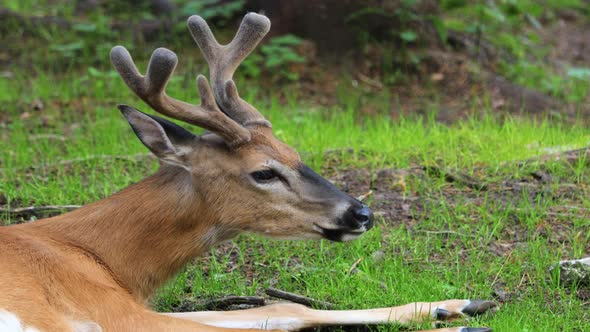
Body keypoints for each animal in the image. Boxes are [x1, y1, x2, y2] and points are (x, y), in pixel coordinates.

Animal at [0, 12, 500, 332]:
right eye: (263, 172)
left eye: (294, 151)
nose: (362, 213)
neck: (98, 258)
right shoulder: (111, 313)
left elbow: (284, 308)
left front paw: (455, 307)